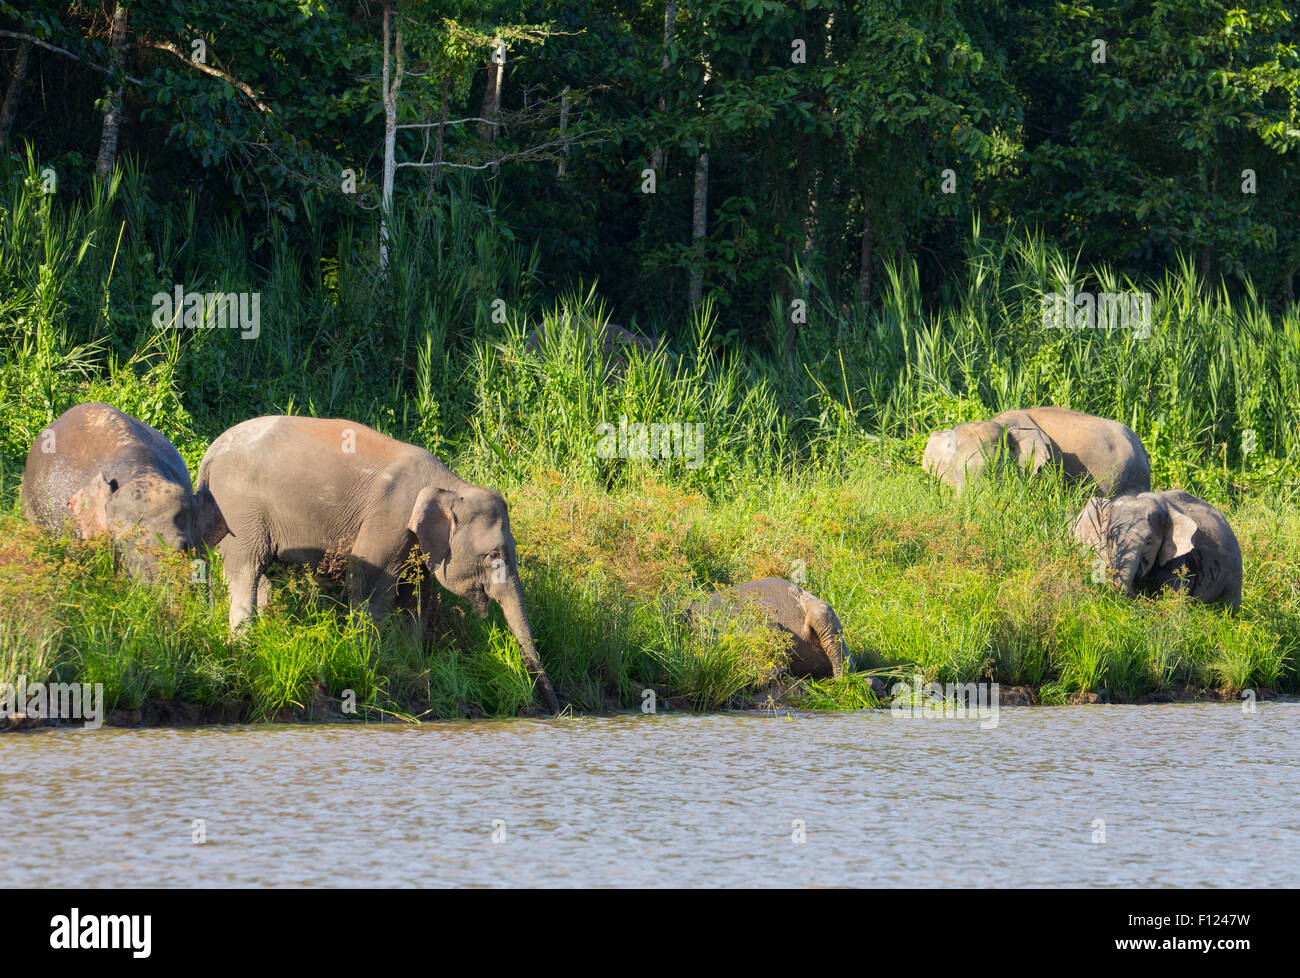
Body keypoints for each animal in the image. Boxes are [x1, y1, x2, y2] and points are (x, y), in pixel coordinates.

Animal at [197, 413, 559, 712]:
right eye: (493, 555)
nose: (557, 709)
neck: (450, 485)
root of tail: (210, 453)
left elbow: (414, 593)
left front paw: (411, 663)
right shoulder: (389, 518)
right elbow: (367, 582)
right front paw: (365, 662)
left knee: (264, 574)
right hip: (241, 510)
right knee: (247, 569)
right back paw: (243, 645)